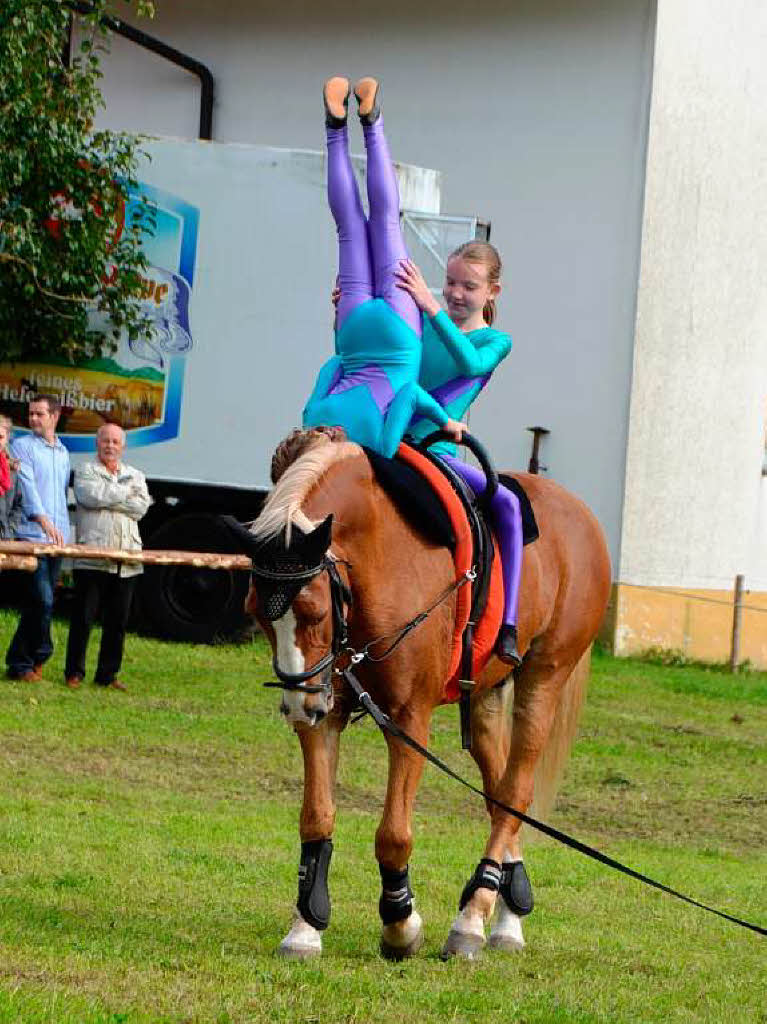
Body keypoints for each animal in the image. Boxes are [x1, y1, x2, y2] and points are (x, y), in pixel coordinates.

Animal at [224, 430, 606, 958]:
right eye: (255, 613)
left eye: (315, 611)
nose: (299, 705)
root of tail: (581, 513)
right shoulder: (327, 710)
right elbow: (316, 817)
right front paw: (305, 927)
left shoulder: (407, 719)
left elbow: (393, 835)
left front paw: (399, 923)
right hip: (485, 696)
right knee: (500, 798)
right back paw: (507, 916)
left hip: (544, 678)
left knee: (517, 788)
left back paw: (472, 917)